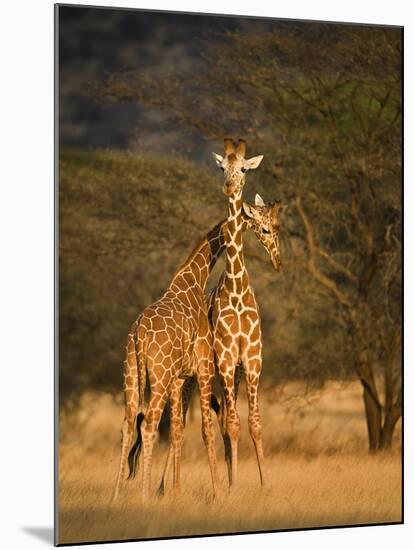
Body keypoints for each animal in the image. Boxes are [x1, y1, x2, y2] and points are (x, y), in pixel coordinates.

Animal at [157, 196, 284, 498]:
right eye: (263, 228)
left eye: (278, 227)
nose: (277, 261)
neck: (237, 293)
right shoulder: (225, 360)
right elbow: (233, 424)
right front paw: (233, 487)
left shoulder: (251, 361)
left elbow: (252, 423)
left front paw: (261, 485)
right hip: (191, 378)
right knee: (180, 423)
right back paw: (165, 487)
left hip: (230, 374)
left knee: (223, 418)